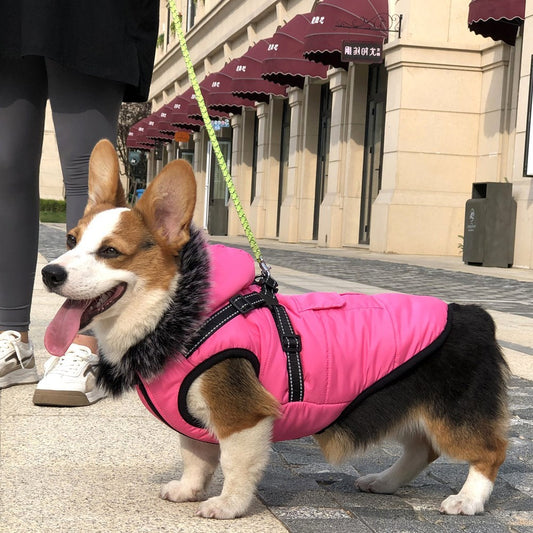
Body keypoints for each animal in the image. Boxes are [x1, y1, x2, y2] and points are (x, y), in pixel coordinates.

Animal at [41, 140, 508, 520]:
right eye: (70, 240)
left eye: (110, 252)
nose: (49, 273)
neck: (174, 314)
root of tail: (474, 315)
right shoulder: (194, 419)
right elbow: (194, 457)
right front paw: (189, 491)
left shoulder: (243, 417)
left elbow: (234, 466)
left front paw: (226, 506)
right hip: (405, 407)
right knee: (422, 449)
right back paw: (384, 481)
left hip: (454, 415)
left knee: (488, 452)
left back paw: (468, 500)